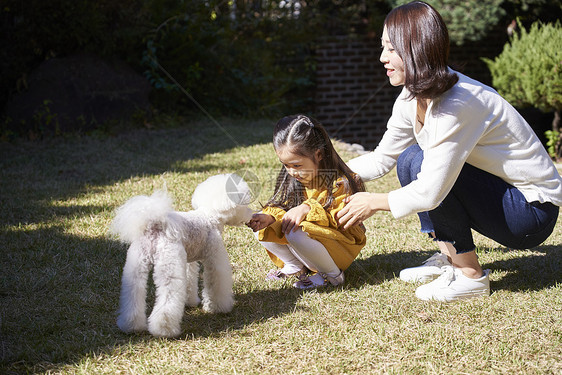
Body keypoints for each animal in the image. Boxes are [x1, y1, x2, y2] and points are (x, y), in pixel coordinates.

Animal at [110, 175, 254, 340]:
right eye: (244, 203)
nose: (251, 214)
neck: (210, 216)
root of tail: (154, 226)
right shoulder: (215, 258)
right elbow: (216, 284)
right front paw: (218, 307)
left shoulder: (187, 262)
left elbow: (190, 281)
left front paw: (190, 302)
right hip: (168, 268)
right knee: (167, 301)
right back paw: (164, 330)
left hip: (135, 268)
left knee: (133, 296)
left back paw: (131, 326)